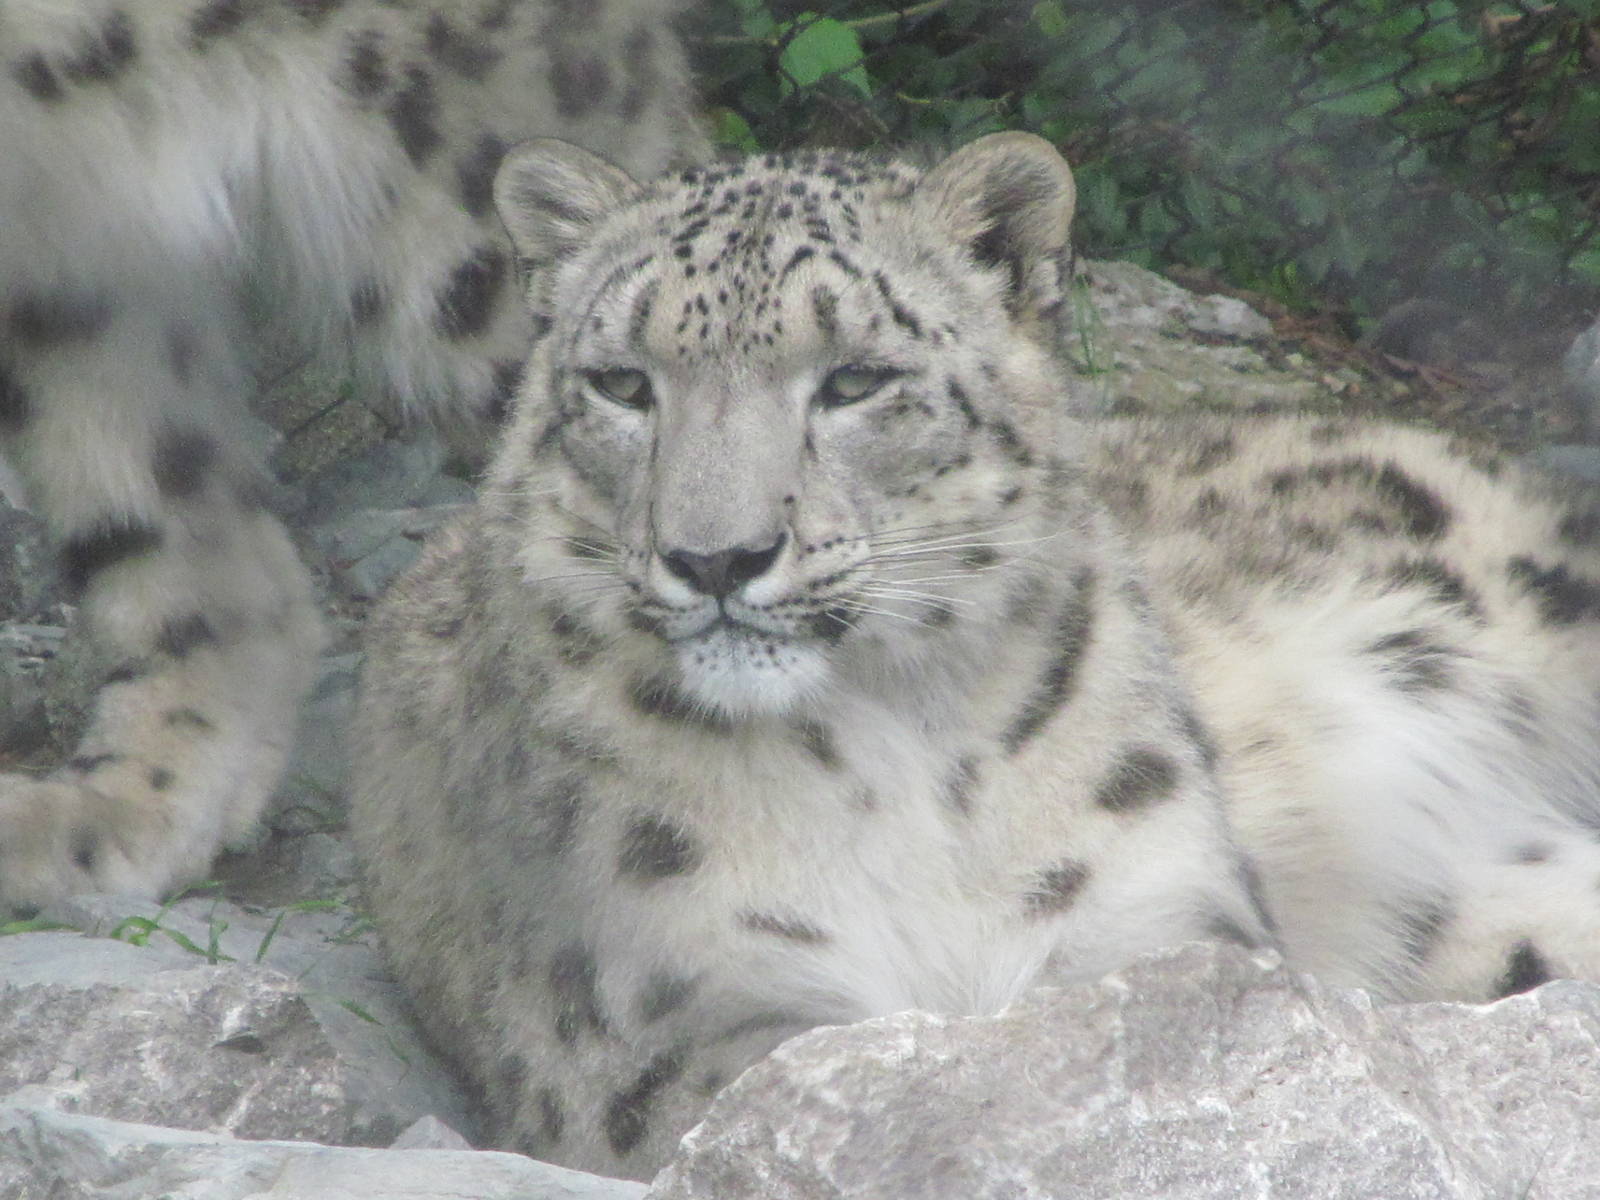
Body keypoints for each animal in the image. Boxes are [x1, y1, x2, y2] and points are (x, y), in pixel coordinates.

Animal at [350, 130, 1600, 1180]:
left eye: (854, 378)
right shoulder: (659, 1025)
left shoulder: (1156, 931)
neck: (896, 758)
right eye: (622, 383)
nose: (714, 557)